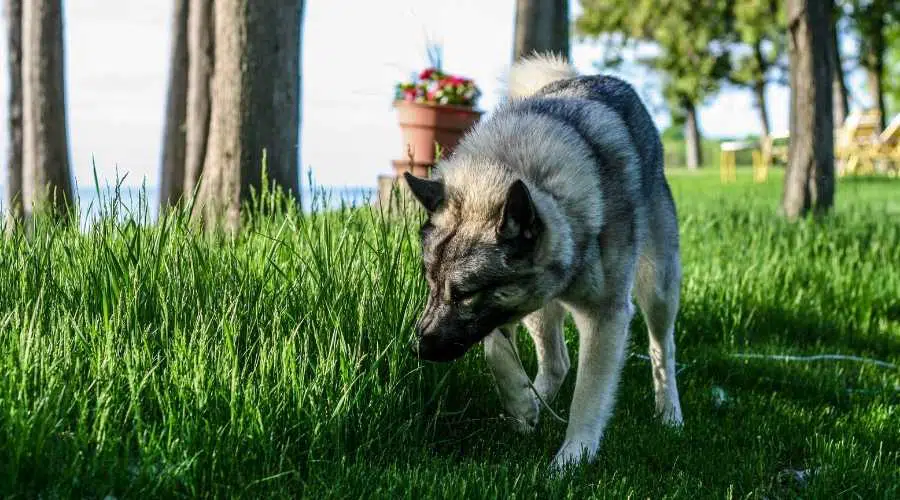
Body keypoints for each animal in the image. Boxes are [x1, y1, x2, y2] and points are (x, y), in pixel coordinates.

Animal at [404, 52, 684, 470]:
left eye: (465, 293)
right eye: (432, 287)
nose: (418, 349)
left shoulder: (606, 316)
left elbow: (588, 396)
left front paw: (572, 459)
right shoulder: (510, 302)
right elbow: (494, 347)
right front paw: (521, 403)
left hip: (658, 286)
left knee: (661, 348)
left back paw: (670, 414)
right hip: (539, 308)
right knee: (556, 362)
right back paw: (532, 403)